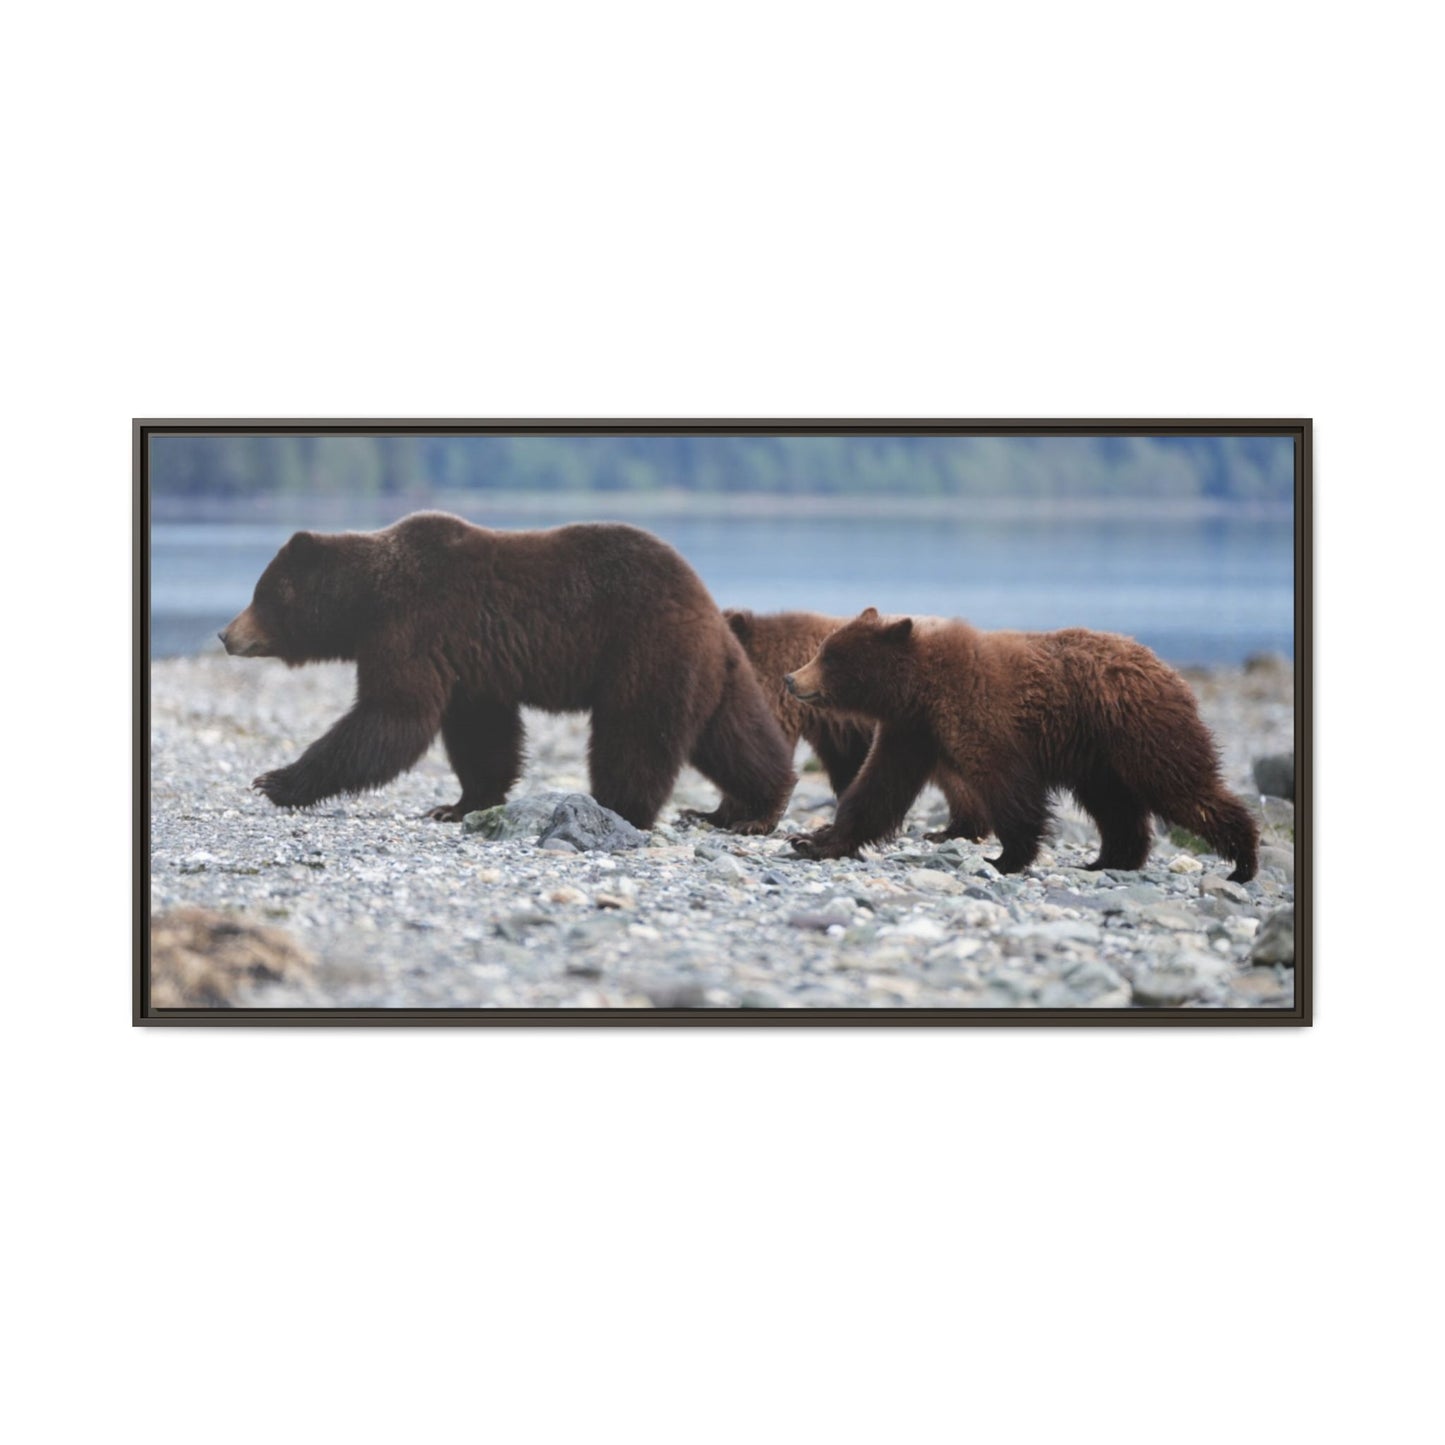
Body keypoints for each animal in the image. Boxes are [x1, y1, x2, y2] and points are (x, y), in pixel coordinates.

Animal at [219, 512, 796, 833]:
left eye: (261, 594)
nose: (225, 634)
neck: (368, 602)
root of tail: (706, 604)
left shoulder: (416, 628)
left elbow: (392, 716)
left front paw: (275, 780)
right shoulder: (470, 663)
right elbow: (481, 735)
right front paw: (457, 805)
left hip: (645, 652)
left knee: (634, 737)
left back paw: (618, 808)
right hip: (714, 671)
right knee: (736, 737)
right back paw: (751, 809)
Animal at [784, 608, 1259, 882]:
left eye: (830, 656)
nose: (791, 678)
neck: (921, 688)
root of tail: (1168, 669)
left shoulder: (981, 715)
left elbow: (1008, 787)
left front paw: (1003, 859)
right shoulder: (911, 730)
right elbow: (877, 788)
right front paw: (812, 840)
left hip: (1141, 730)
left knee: (1182, 787)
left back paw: (1243, 861)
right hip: (1100, 758)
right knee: (1115, 806)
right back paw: (1108, 860)